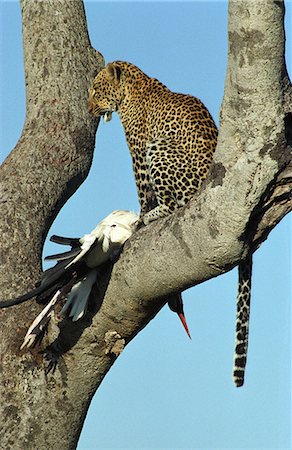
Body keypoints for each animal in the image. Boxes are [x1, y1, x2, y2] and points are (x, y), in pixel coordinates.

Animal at [88, 61, 252, 388]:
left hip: (160, 149)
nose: (89, 110)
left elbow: (142, 191)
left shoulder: (139, 150)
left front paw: (139, 217)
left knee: (175, 205)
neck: (133, 85)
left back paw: (151, 216)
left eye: (97, 90)